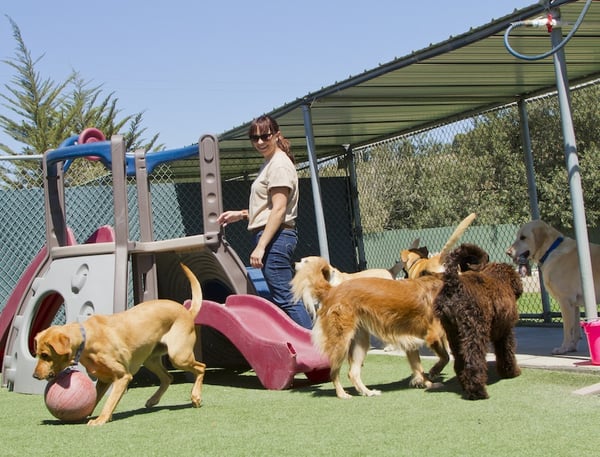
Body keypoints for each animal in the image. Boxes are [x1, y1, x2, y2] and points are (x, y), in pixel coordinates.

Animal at [33, 262, 206, 426]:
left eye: (45, 355)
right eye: (37, 355)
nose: (35, 376)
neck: (87, 338)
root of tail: (187, 312)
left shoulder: (122, 376)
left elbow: (110, 401)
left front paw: (100, 419)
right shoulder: (103, 379)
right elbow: (95, 399)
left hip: (178, 356)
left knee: (201, 367)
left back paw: (195, 396)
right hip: (150, 359)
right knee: (168, 377)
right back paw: (153, 400)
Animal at [292, 256, 448, 400]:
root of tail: (332, 290)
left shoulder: (411, 343)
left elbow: (419, 368)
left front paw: (427, 384)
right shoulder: (433, 334)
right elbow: (444, 357)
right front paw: (434, 372)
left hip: (359, 342)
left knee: (353, 373)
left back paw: (367, 392)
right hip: (341, 342)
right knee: (334, 372)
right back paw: (342, 394)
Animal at [434, 244, 524, 398]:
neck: (500, 278)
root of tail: (454, 284)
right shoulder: (505, 331)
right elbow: (507, 352)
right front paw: (511, 372)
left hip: (454, 334)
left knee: (460, 361)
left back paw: (465, 385)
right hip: (475, 331)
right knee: (473, 360)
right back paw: (478, 391)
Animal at [506, 219, 600, 354]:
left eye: (523, 237)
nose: (507, 252)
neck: (550, 250)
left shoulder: (565, 301)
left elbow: (567, 329)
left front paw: (564, 348)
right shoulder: (574, 304)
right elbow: (576, 330)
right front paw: (572, 347)